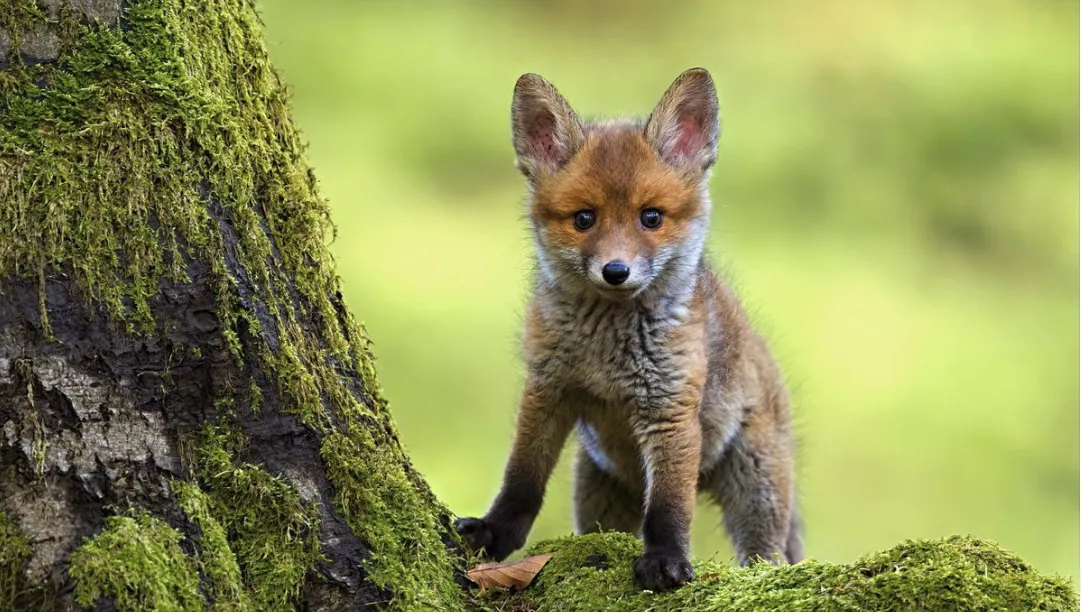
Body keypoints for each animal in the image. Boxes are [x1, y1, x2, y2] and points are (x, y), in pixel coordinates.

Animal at [455, 67, 802, 591]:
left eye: (651, 217)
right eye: (584, 218)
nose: (615, 271)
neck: (605, 355)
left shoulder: (670, 409)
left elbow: (669, 507)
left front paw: (666, 559)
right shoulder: (547, 390)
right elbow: (521, 480)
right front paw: (495, 531)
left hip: (755, 486)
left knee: (769, 555)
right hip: (596, 490)